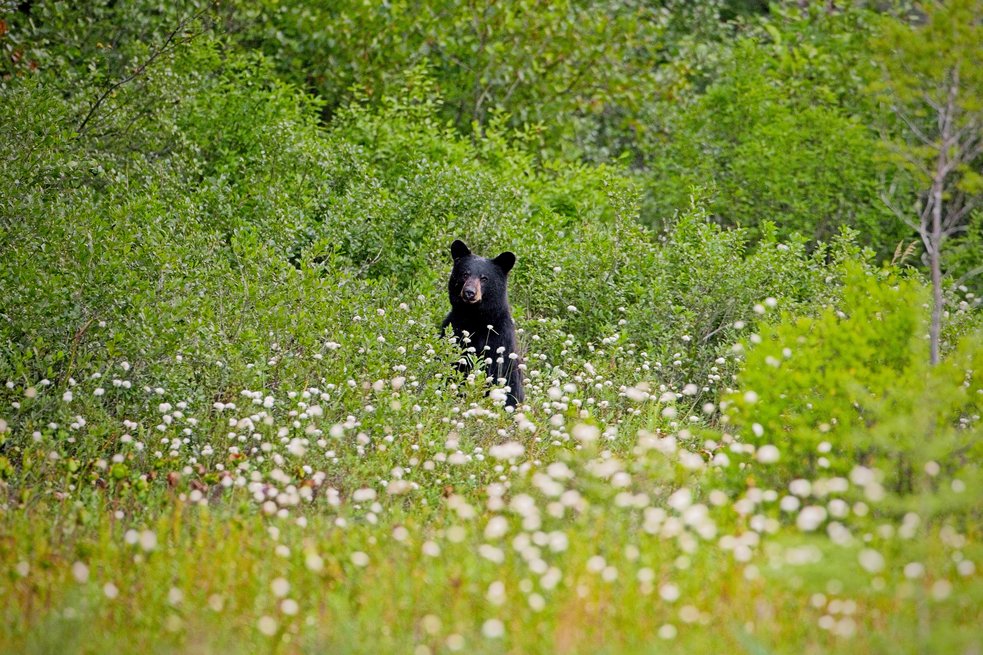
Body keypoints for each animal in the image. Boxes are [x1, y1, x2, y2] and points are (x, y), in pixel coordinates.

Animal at [440, 239, 524, 407]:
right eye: (465, 274)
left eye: (484, 278)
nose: (469, 292)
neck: (475, 318)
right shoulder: (453, 330)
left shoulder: (498, 341)